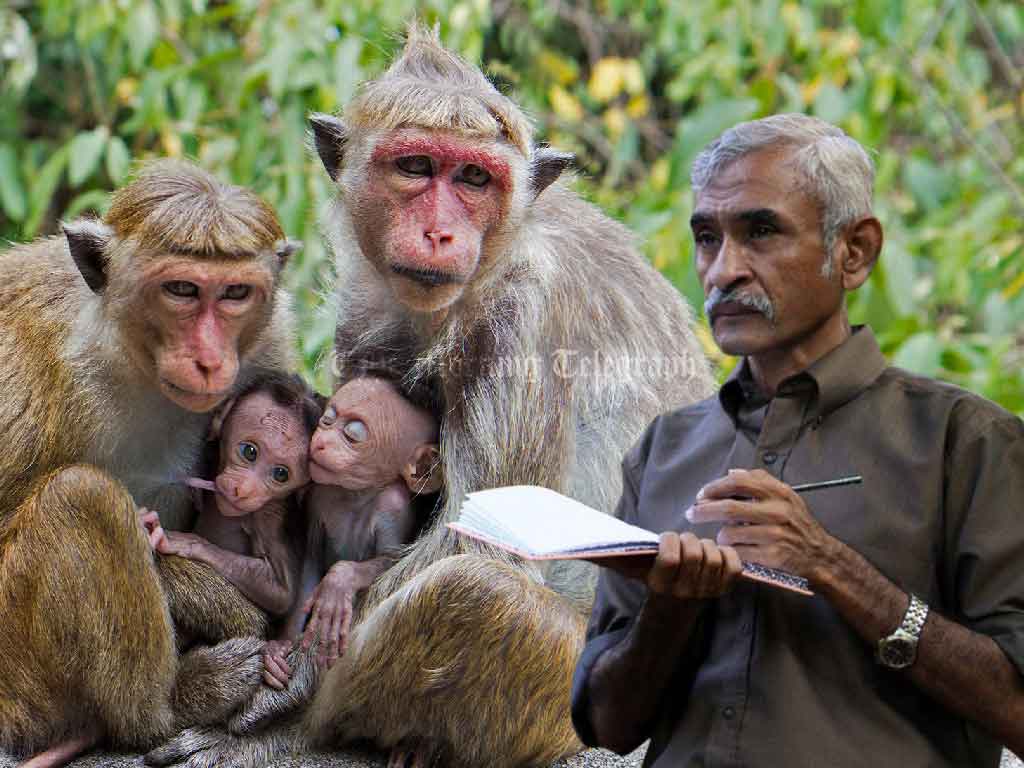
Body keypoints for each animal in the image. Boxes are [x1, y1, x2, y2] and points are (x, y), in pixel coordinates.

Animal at [140, 372, 321, 626]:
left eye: (281, 474)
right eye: (249, 452)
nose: (244, 490)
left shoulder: (270, 516)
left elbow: (281, 593)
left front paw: (187, 543)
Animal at [264, 378, 440, 692]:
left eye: (352, 435)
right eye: (327, 420)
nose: (320, 442)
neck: (356, 494)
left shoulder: (394, 505)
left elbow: (392, 560)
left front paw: (339, 582)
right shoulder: (319, 494)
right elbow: (310, 565)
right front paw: (282, 645)